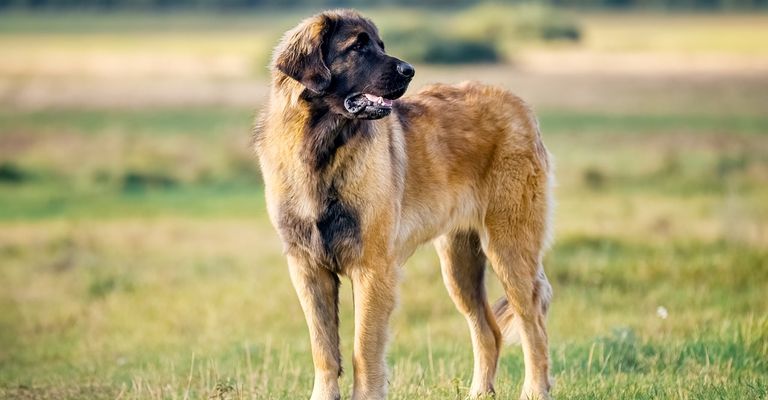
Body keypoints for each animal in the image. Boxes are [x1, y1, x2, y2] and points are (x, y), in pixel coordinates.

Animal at [255, 9, 556, 400]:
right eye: (358, 47)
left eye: (380, 45)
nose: (409, 70)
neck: (321, 150)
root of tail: (519, 106)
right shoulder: (308, 268)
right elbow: (323, 349)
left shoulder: (372, 269)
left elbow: (363, 350)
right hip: (459, 264)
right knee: (488, 330)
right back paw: (479, 392)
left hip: (510, 249)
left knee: (533, 324)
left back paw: (534, 389)